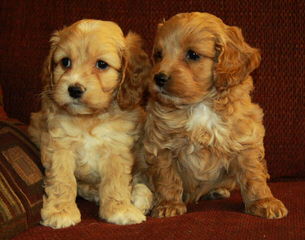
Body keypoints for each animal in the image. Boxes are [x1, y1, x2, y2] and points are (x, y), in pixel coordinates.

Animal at [28, 19, 152, 228]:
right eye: (65, 62)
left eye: (102, 64)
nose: (74, 89)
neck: (88, 119)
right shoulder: (59, 145)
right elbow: (63, 180)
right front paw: (61, 211)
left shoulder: (117, 148)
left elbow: (116, 181)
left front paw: (119, 209)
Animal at [141, 12, 286, 219]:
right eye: (159, 55)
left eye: (193, 55)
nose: (159, 78)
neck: (200, 105)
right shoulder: (161, 145)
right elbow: (167, 177)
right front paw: (168, 204)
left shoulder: (245, 140)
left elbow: (253, 176)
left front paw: (264, 202)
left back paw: (217, 191)